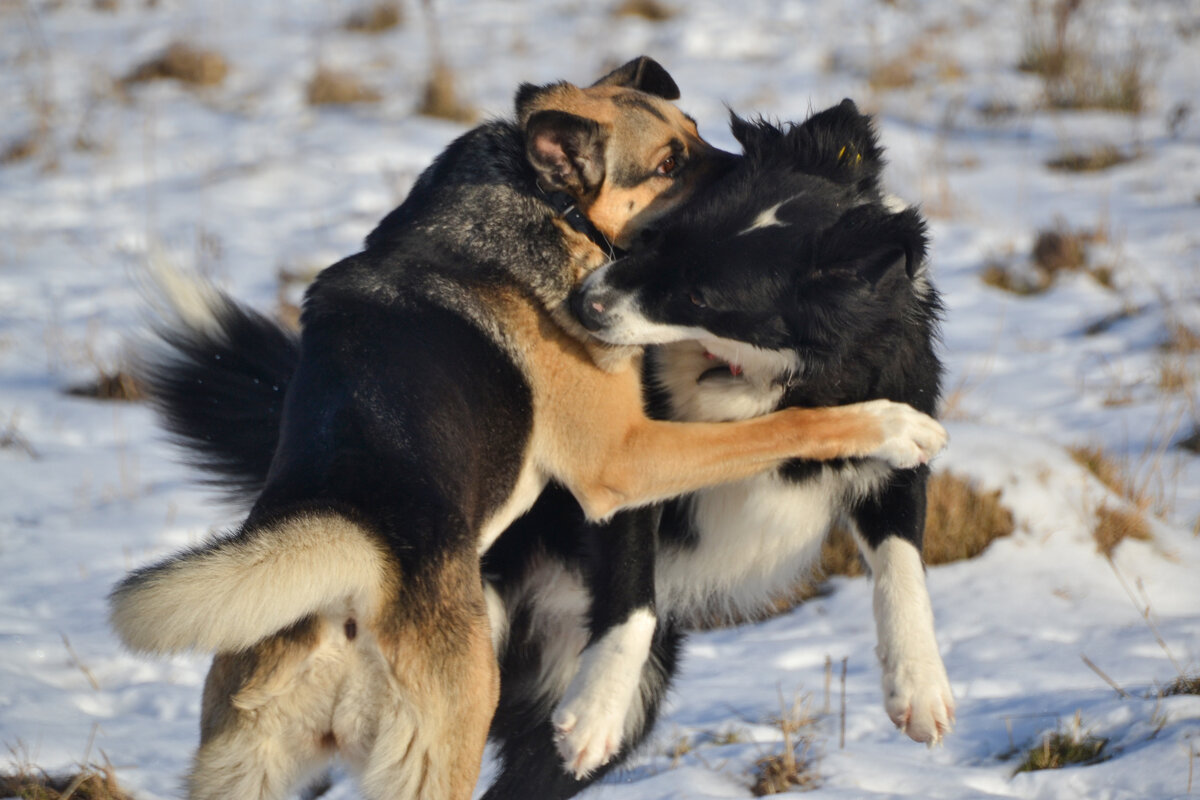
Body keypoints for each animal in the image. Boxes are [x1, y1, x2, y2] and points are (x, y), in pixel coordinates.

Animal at [110, 57, 945, 800]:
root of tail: (344, 586)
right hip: (440, 739)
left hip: (249, 767)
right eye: (670, 163)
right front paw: (893, 424)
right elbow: (787, 428)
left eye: (696, 132)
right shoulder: (623, 460)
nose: (755, 151)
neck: (534, 193)